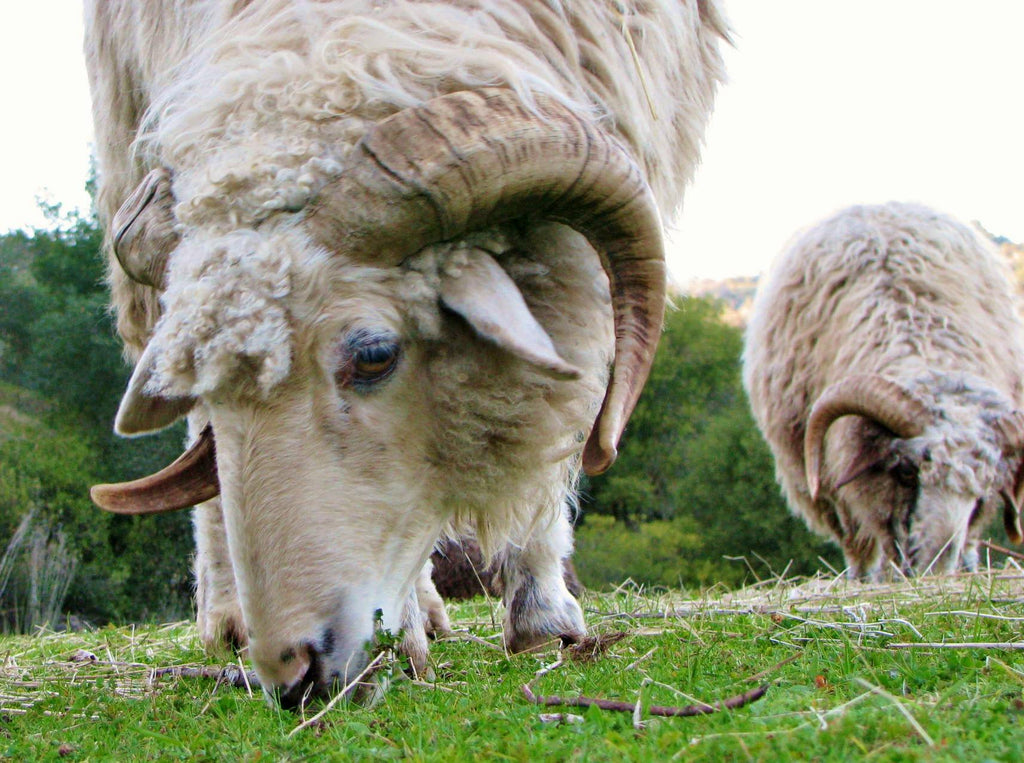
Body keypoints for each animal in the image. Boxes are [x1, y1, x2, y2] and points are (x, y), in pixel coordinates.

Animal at [745, 199, 1024, 581]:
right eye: (906, 472)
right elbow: (862, 542)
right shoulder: (835, 481)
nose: (935, 569)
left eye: (985, 488)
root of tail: (874, 205)